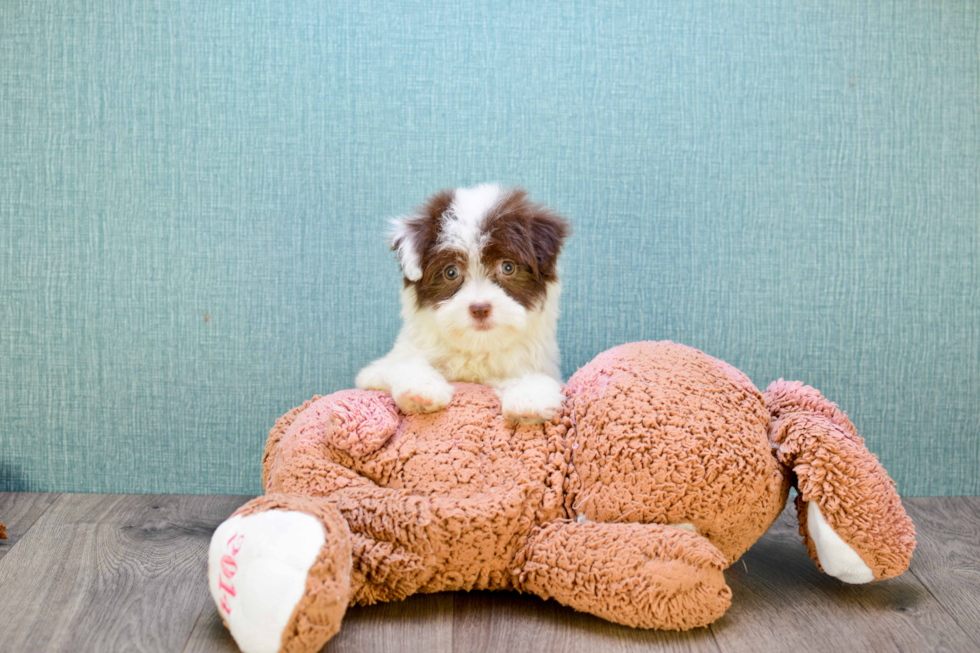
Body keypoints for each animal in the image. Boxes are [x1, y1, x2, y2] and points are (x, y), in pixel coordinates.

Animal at [358, 183, 576, 426]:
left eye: (507, 267)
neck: (477, 347)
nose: (480, 308)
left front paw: (529, 398)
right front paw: (422, 389)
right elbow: (401, 364)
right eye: (451, 272)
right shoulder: (374, 373)